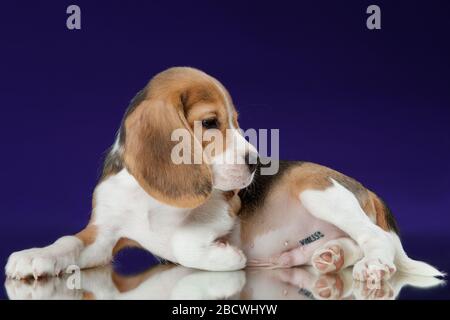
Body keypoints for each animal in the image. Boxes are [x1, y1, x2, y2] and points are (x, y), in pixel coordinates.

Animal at [5, 67, 444, 282]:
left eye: (235, 120)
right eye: (211, 123)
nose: (257, 162)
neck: (149, 200)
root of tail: (367, 189)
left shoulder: (222, 211)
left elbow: (183, 240)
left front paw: (224, 256)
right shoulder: (102, 237)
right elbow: (67, 242)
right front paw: (34, 256)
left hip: (317, 189)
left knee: (376, 238)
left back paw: (373, 265)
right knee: (352, 244)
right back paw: (325, 256)